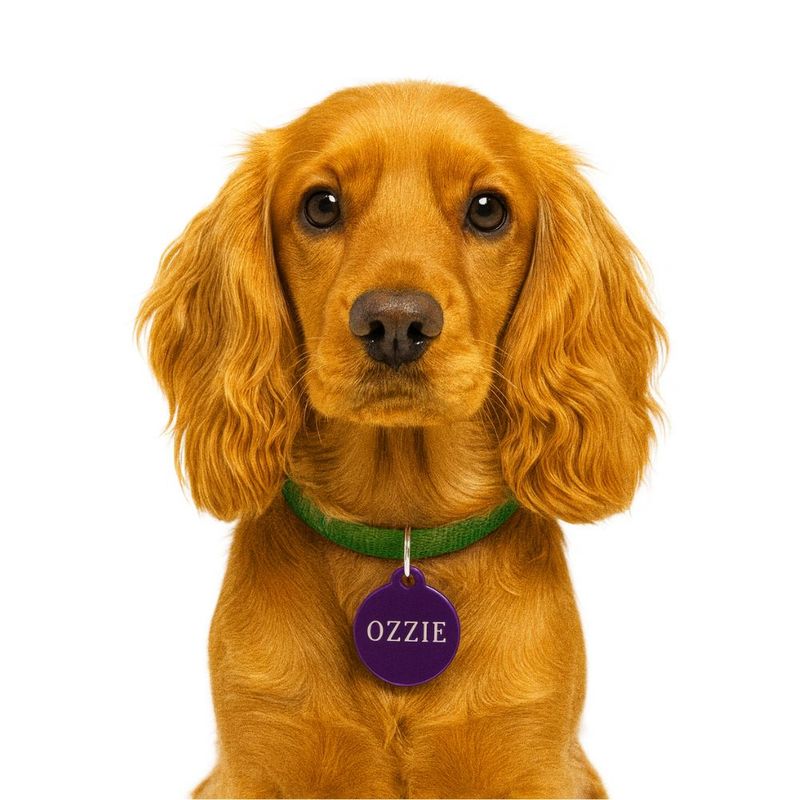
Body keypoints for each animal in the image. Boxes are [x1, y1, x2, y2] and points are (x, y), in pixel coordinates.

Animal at [138, 81, 664, 799]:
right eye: (321, 206)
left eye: (488, 210)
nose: (394, 323)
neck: (402, 524)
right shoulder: (252, 766)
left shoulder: (540, 764)